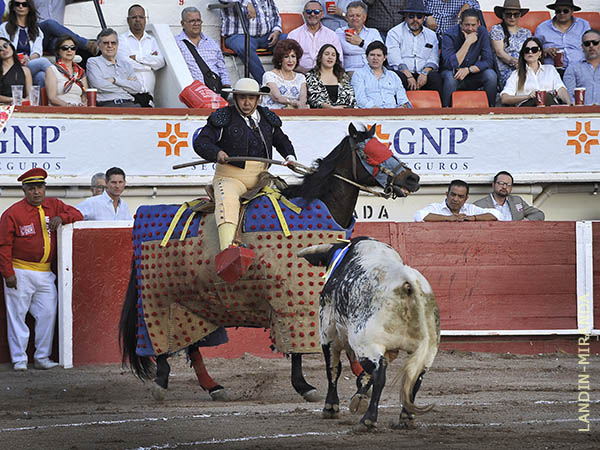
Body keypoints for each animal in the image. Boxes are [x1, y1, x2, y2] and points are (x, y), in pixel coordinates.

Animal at [118, 122, 422, 400]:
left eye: (386, 146)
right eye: (369, 153)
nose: (412, 179)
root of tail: (141, 214)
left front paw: (360, 375)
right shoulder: (294, 300)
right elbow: (298, 346)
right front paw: (305, 385)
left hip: (194, 302)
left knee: (191, 343)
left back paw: (212, 386)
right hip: (160, 298)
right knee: (161, 339)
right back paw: (161, 383)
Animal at [298, 237, 438, 430]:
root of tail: (407, 281)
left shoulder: (328, 336)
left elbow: (333, 369)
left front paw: (331, 407)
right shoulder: (390, 350)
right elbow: (364, 376)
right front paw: (358, 399)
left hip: (365, 343)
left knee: (380, 372)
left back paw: (368, 419)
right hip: (427, 350)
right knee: (415, 377)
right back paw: (406, 417)